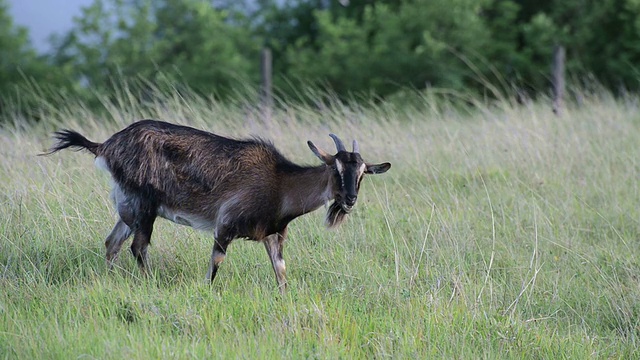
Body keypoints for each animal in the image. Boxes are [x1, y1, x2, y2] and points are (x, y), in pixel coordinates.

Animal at [45, 119, 390, 292]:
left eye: (362, 173)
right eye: (335, 168)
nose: (349, 199)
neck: (280, 184)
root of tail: (106, 145)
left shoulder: (273, 234)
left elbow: (281, 272)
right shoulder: (225, 224)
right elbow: (216, 263)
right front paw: (208, 293)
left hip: (127, 207)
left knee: (112, 242)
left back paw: (111, 279)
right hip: (145, 205)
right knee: (138, 247)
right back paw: (149, 283)